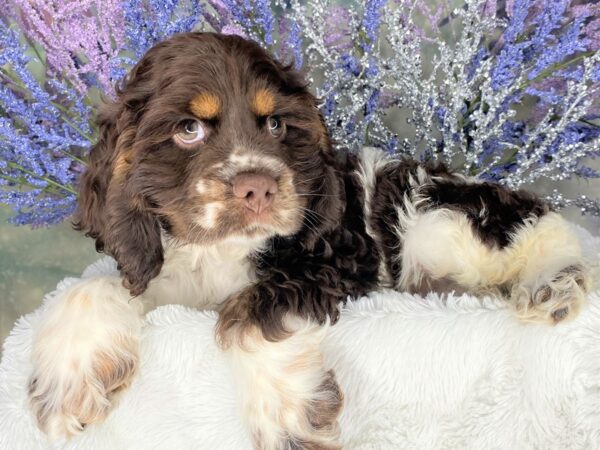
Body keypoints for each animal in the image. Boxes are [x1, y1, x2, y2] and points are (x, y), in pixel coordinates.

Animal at [29, 32, 592, 450]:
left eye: (277, 123)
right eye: (188, 129)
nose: (258, 187)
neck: (219, 251)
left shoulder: (333, 262)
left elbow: (251, 314)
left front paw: (288, 417)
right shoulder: (162, 276)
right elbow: (91, 287)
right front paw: (65, 390)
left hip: (431, 216)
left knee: (541, 225)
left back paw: (552, 286)